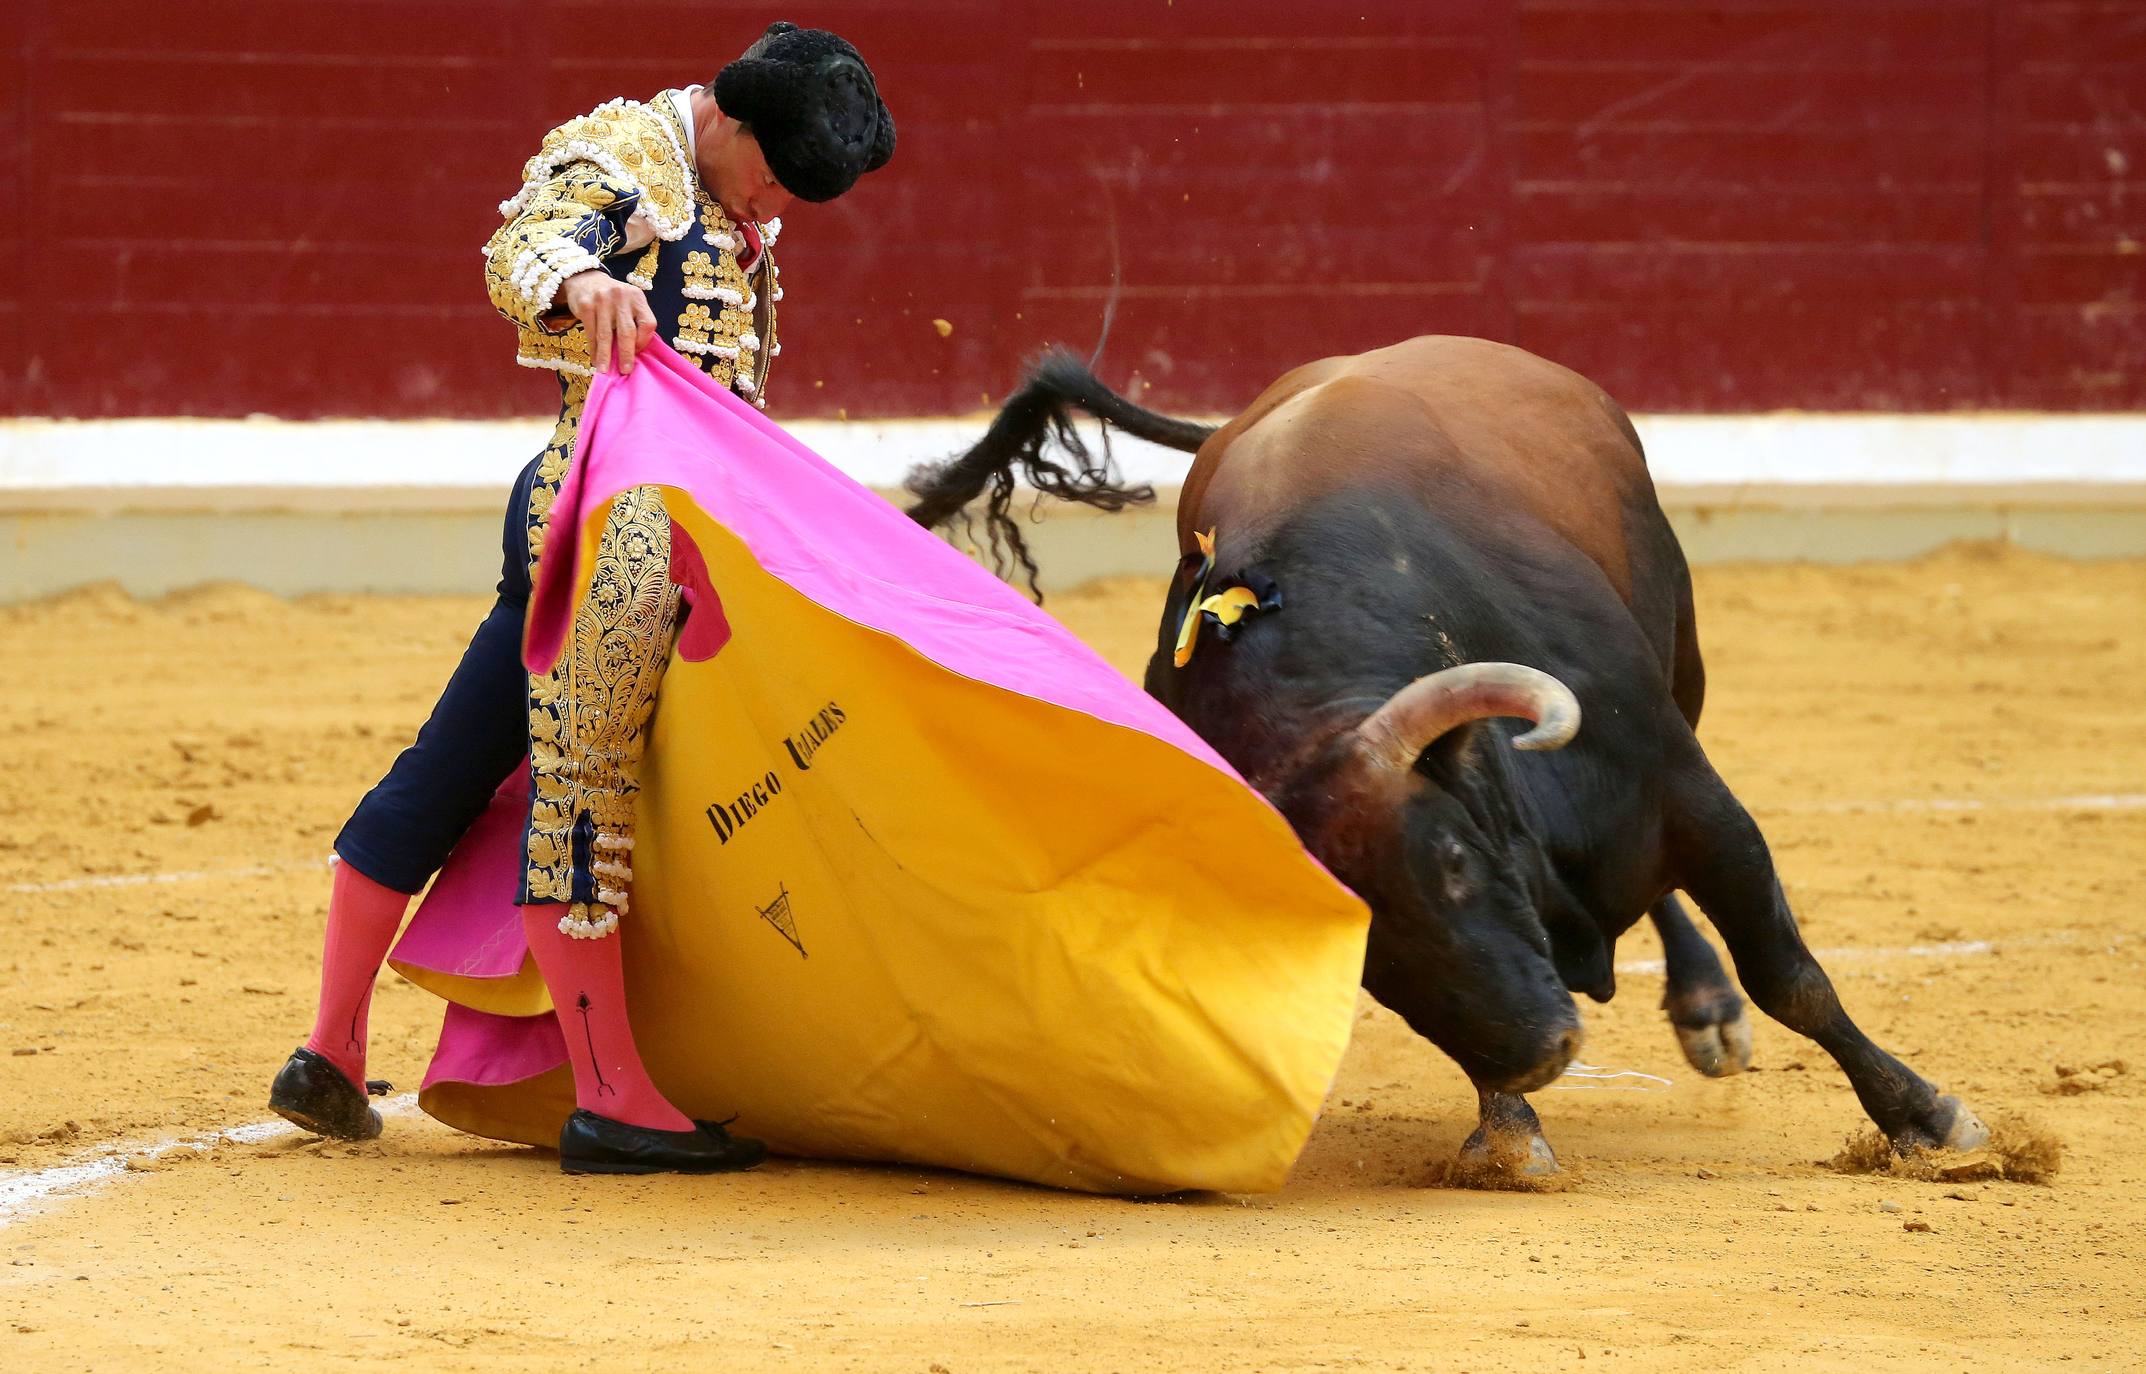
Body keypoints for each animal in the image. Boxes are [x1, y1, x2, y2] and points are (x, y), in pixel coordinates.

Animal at [905, 339, 1991, 1185]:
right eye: (1362, 950)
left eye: (1459, 862)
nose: (1543, 1053)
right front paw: (1509, 1136)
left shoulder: (1691, 798)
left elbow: (1790, 976)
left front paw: (1929, 1119)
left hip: (1684, 663)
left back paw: (1707, 1007)